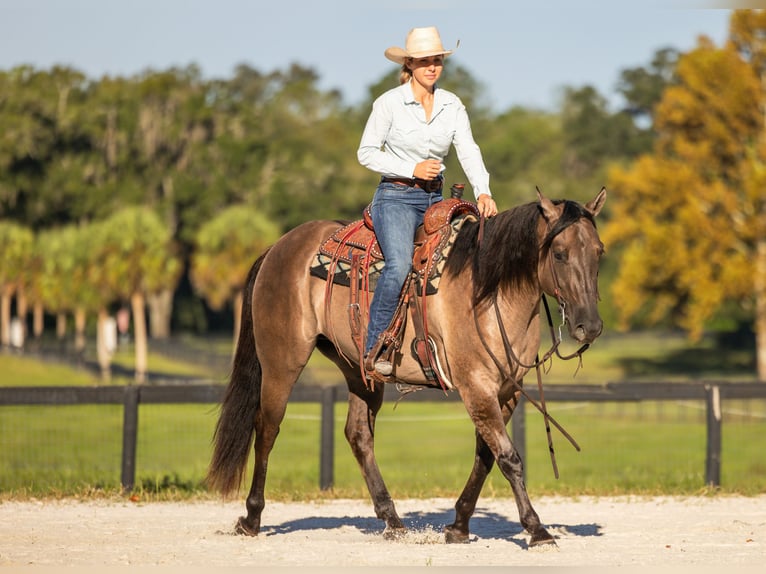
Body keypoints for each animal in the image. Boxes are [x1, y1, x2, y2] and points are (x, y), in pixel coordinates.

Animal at [207, 187, 606, 547]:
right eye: (559, 253)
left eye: (599, 252)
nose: (589, 326)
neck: (487, 292)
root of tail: (278, 247)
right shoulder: (477, 387)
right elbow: (509, 458)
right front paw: (537, 530)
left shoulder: (506, 392)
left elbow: (486, 456)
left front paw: (458, 525)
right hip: (281, 363)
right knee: (267, 428)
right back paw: (251, 518)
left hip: (359, 370)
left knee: (358, 435)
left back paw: (392, 521)